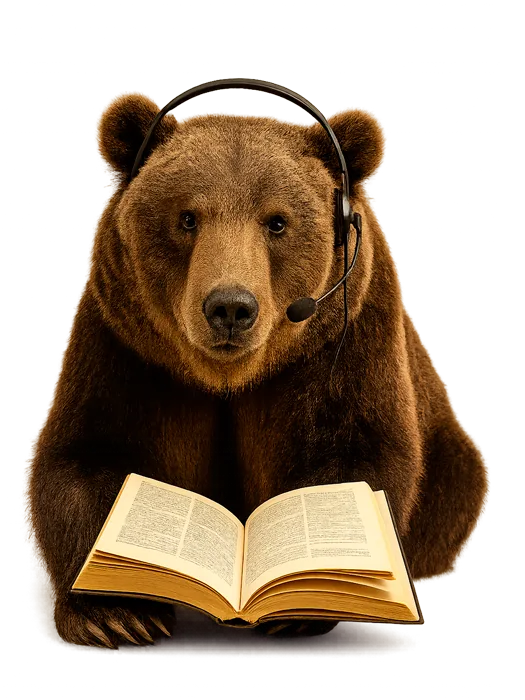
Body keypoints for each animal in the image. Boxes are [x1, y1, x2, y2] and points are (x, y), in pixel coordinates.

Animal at [30, 93, 485, 647]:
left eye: (277, 222)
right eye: (187, 217)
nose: (230, 306)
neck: (229, 379)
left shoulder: (343, 342)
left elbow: (354, 457)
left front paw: (305, 603)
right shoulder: (126, 346)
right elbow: (90, 458)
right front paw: (114, 612)